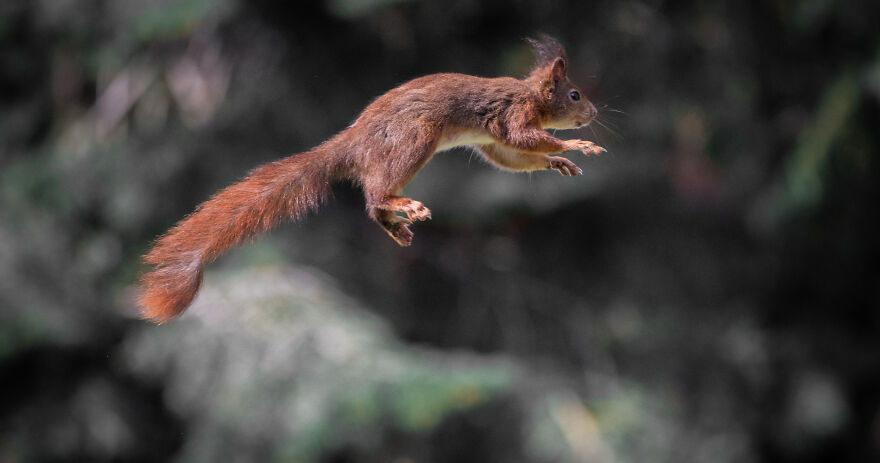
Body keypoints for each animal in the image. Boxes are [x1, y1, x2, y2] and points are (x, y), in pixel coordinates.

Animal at [139, 35, 604, 323]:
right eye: (575, 95)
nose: (594, 114)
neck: (529, 94)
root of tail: (354, 142)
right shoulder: (511, 117)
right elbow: (523, 139)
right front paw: (575, 145)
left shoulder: (492, 141)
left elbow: (512, 157)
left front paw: (557, 162)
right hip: (414, 139)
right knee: (374, 194)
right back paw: (401, 206)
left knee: (374, 202)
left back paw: (396, 225)